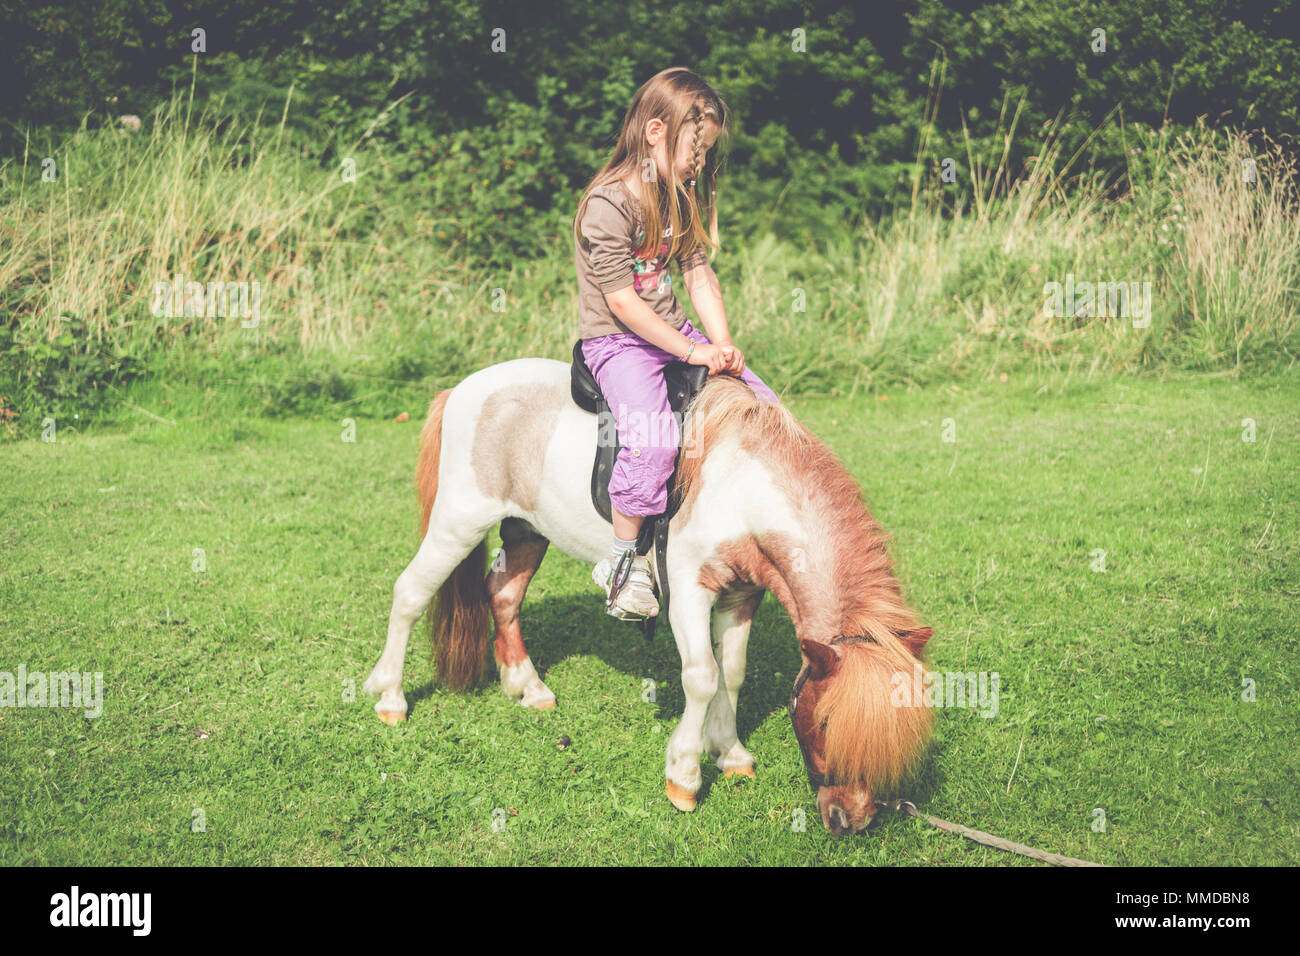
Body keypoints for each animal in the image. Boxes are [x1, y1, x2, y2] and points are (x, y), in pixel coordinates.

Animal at [363, 356, 934, 834]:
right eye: (825, 721)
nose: (849, 820)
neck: (739, 484)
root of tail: (459, 390)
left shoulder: (741, 596)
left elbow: (732, 673)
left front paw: (730, 753)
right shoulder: (688, 592)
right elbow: (702, 677)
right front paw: (684, 775)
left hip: (526, 531)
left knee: (503, 596)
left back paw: (527, 686)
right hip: (457, 524)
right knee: (409, 594)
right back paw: (390, 697)